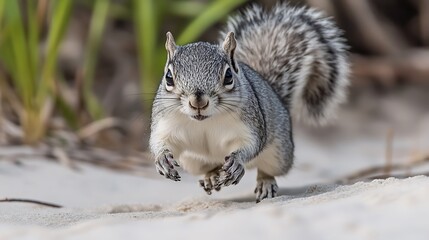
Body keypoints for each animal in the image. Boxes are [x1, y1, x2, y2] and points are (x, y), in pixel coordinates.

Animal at [149, 3, 350, 202]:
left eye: (228, 76)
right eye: (168, 77)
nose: (198, 102)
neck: (205, 121)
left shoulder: (250, 126)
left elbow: (251, 145)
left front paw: (237, 161)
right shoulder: (165, 124)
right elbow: (159, 141)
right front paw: (162, 158)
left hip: (279, 154)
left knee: (266, 169)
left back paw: (265, 183)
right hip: (193, 160)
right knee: (210, 167)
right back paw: (212, 177)